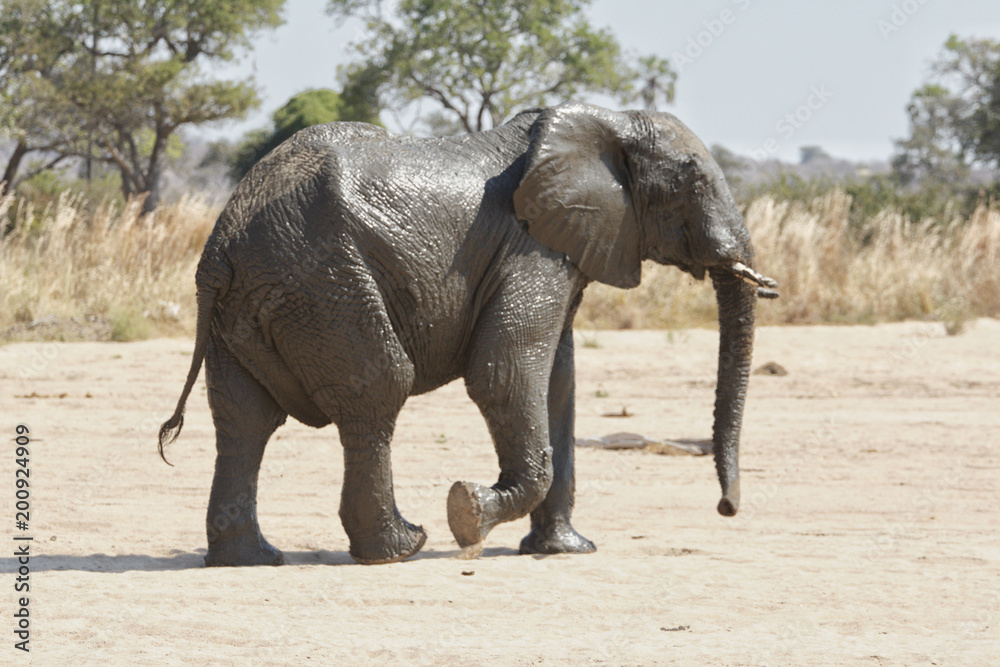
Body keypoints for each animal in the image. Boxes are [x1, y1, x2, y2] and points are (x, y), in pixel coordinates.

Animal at [159, 101, 777, 567]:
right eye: (693, 181)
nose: (726, 508)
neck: (607, 121)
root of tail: (221, 242)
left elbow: (558, 383)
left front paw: (565, 550)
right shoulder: (531, 247)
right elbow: (504, 371)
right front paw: (467, 513)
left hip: (249, 305)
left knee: (244, 421)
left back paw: (252, 559)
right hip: (325, 285)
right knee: (376, 393)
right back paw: (401, 547)